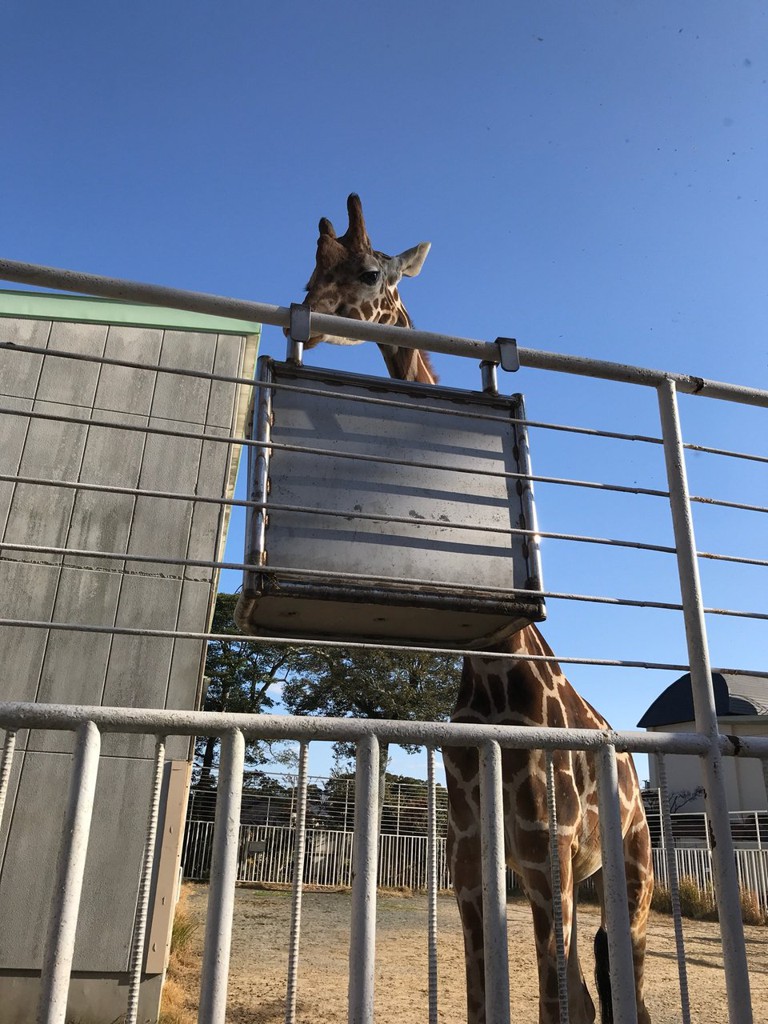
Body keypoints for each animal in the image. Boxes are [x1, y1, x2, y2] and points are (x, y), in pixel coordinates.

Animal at [301, 193, 655, 1024]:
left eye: (370, 271)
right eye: (309, 267)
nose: (305, 316)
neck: (496, 665)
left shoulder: (546, 854)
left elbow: (556, 1003)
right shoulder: (469, 863)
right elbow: (480, 998)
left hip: (632, 870)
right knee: (593, 990)